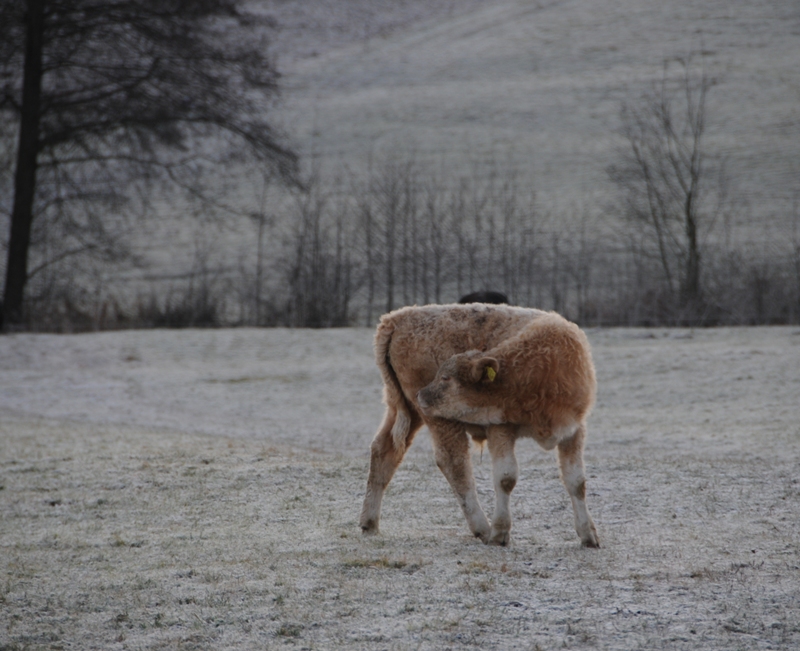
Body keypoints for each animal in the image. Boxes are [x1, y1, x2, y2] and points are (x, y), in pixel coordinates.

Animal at [360, 304, 596, 548]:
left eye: (446, 378)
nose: (421, 394)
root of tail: (396, 319)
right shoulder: (500, 428)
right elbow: (505, 477)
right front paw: (499, 532)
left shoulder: (573, 430)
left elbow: (576, 481)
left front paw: (588, 535)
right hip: (439, 419)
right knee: (454, 463)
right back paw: (483, 528)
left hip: (406, 412)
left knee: (384, 450)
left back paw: (369, 523)